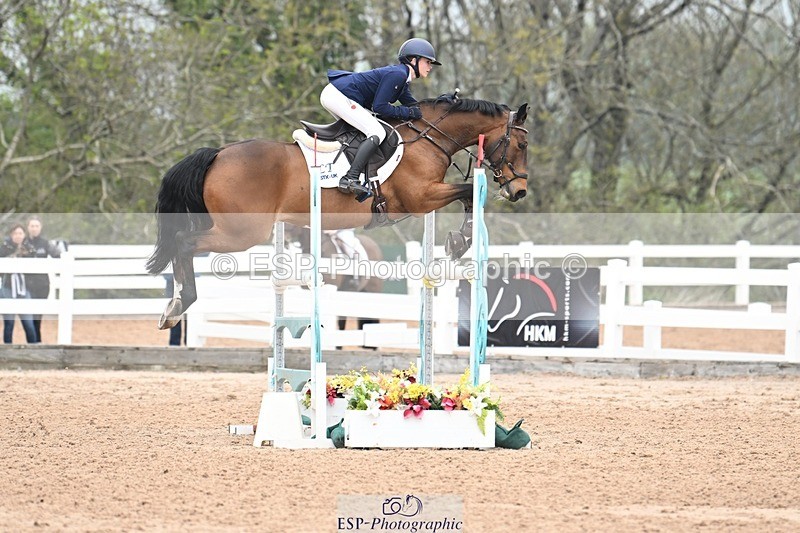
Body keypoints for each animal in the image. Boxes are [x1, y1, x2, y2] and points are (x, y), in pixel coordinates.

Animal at [147, 97, 529, 329]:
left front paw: (457, 240)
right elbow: (468, 193)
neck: (428, 138)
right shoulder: (420, 198)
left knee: (183, 242)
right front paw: (458, 241)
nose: (519, 191)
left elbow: (468, 196)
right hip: (242, 233)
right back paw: (176, 307)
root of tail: (217, 154)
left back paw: (173, 307)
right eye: (523, 144)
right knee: (183, 241)